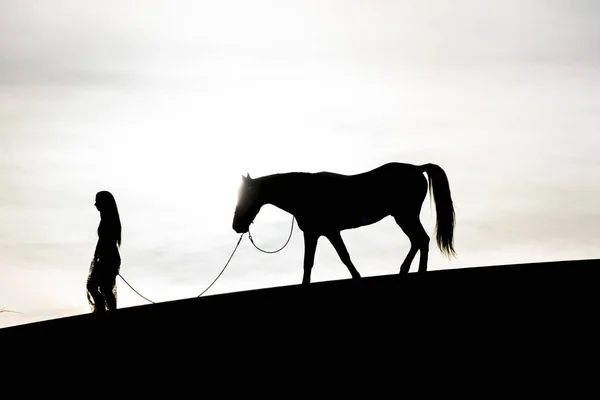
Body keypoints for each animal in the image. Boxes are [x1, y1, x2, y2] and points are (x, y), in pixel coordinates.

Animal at [232, 162, 458, 284]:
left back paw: (415, 271)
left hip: (405, 216)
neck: (305, 193)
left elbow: (333, 259)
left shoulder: (324, 232)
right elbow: (320, 261)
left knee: (421, 240)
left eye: (245, 195)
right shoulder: (321, 233)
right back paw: (406, 270)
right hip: (404, 217)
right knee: (418, 241)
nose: (236, 226)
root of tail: (417, 168)